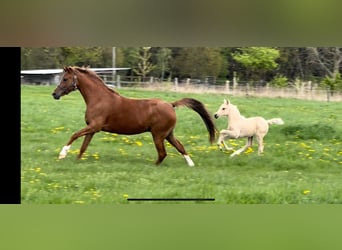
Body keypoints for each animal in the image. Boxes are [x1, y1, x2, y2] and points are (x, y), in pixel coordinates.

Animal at [51, 67, 215, 167]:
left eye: (65, 79)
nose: (55, 94)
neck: (99, 99)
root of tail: (170, 104)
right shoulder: (92, 129)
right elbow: (83, 147)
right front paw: (77, 161)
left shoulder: (94, 126)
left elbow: (74, 135)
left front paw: (62, 154)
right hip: (168, 134)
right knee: (180, 147)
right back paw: (191, 164)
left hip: (158, 135)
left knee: (163, 153)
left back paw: (154, 167)